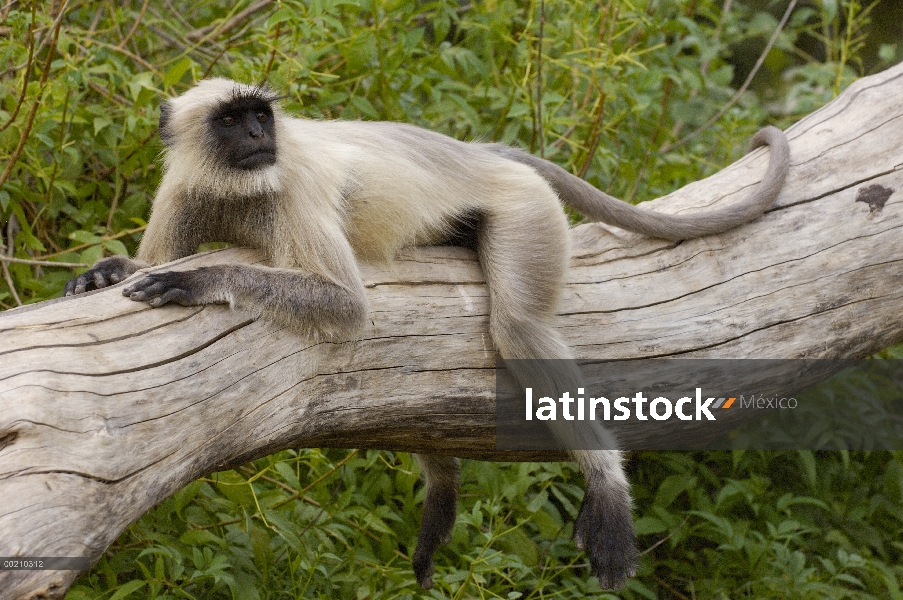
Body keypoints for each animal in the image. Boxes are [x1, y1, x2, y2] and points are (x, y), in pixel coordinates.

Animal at [65, 78, 792, 592]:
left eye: (259, 118)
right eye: (229, 120)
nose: (255, 133)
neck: (241, 183)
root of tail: (474, 153)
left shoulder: (289, 186)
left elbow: (346, 308)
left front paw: (196, 280)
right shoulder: (187, 186)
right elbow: (148, 260)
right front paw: (107, 271)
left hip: (525, 209)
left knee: (518, 326)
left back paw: (605, 485)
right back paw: (442, 491)